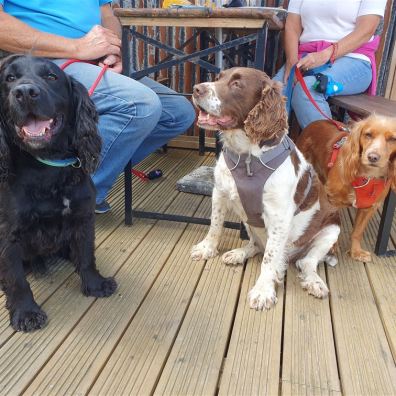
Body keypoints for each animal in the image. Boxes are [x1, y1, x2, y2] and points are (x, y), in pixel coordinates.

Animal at [0, 55, 117, 332]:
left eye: (51, 76)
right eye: (10, 78)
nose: (25, 92)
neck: (46, 165)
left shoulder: (83, 217)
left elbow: (86, 255)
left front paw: (95, 285)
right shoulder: (8, 233)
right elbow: (15, 278)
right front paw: (26, 312)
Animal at [190, 68, 338, 310]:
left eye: (237, 84)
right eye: (219, 77)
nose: (196, 89)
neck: (247, 157)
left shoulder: (279, 217)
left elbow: (269, 259)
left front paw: (263, 291)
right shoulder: (219, 193)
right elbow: (215, 225)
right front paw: (206, 249)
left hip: (332, 231)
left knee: (305, 262)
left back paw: (314, 282)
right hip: (249, 223)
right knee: (256, 245)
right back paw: (239, 253)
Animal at [296, 116, 396, 262]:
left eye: (393, 139)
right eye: (368, 135)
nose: (372, 157)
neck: (367, 176)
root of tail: (316, 121)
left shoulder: (369, 207)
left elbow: (358, 232)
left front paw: (356, 252)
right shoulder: (333, 200)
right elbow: (334, 222)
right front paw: (332, 246)